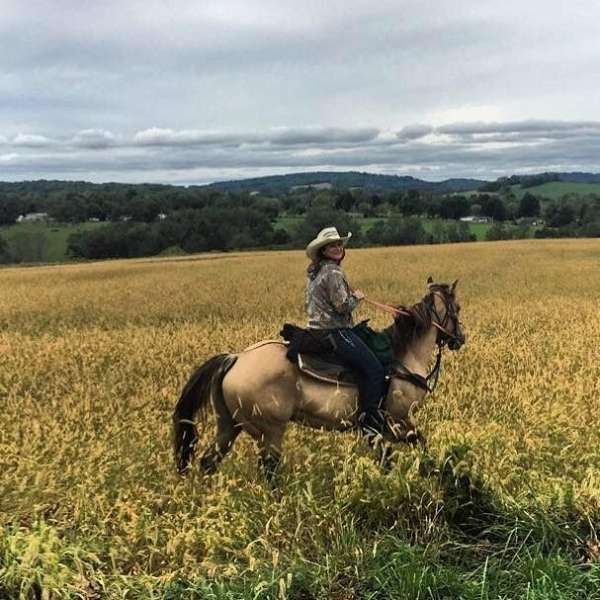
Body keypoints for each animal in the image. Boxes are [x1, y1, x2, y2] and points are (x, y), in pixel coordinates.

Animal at [172, 278, 464, 480]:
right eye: (457, 308)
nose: (460, 339)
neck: (404, 356)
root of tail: (235, 358)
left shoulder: (384, 428)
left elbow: (397, 453)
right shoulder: (397, 419)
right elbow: (417, 443)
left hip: (229, 425)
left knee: (209, 462)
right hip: (270, 431)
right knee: (269, 471)